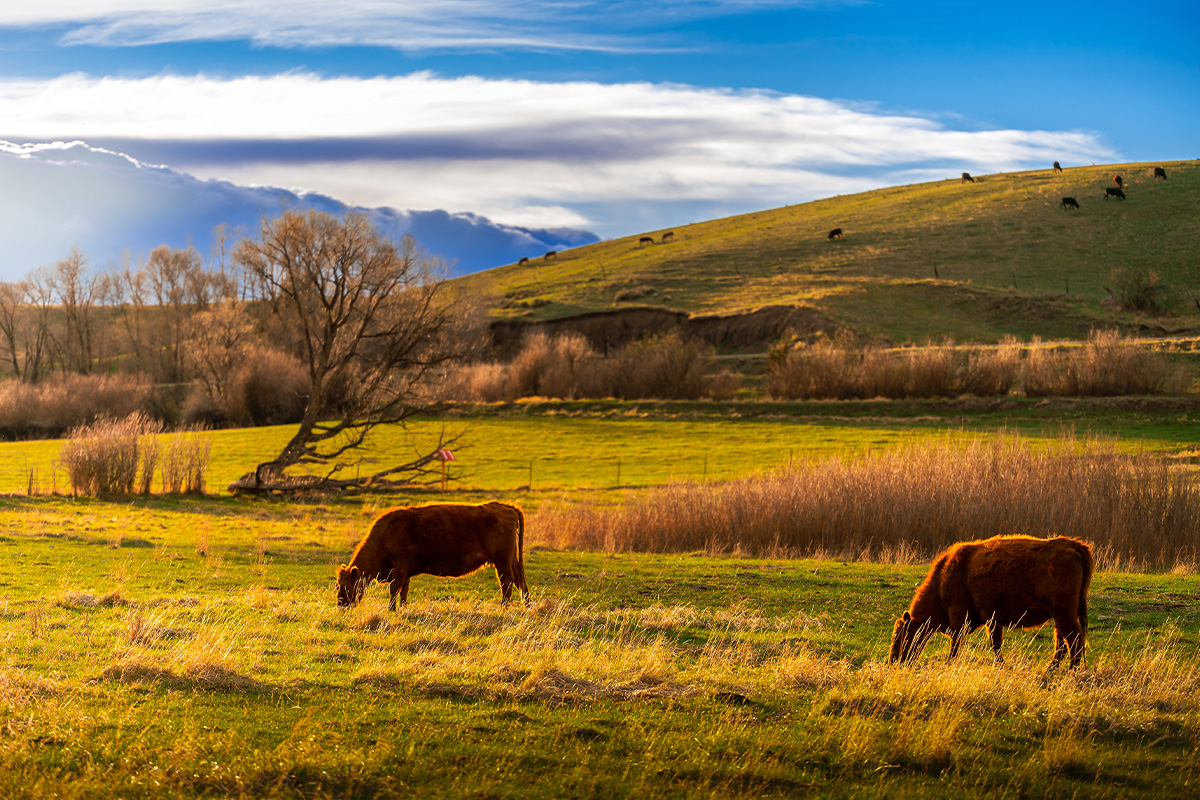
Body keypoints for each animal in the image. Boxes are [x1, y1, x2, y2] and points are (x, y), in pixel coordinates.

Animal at [336, 503, 528, 609]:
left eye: (345, 585)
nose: (341, 604)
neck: (384, 535)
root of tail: (508, 508)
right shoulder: (405, 572)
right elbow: (403, 591)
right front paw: (402, 608)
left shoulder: (399, 569)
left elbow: (394, 589)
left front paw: (391, 610)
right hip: (510, 560)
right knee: (519, 580)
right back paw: (526, 605)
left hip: (501, 561)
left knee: (507, 583)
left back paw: (503, 607)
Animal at [888, 537, 1094, 671]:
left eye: (898, 640)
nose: (893, 663)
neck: (941, 580)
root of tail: (1073, 545)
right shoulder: (993, 620)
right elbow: (995, 644)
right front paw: (1000, 665)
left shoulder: (959, 617)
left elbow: (956, 643)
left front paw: (948, 663)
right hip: (1060, 615)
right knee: (1062, 641)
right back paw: (1052, 669)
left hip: (1063, 613)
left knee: (1074, 639)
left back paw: (1071, 671)